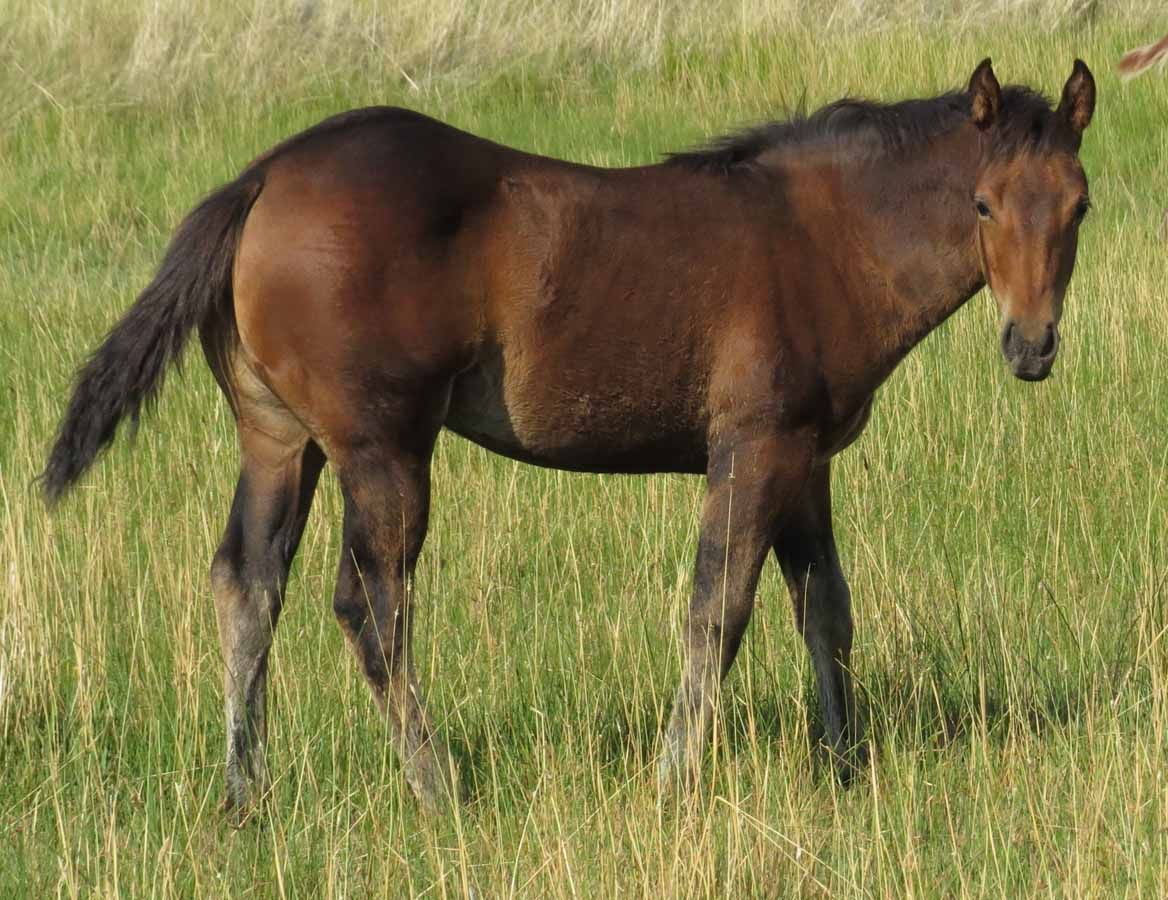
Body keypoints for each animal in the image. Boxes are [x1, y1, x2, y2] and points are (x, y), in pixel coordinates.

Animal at [43, 58, 1096, 817]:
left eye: (1080, 203)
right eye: (983, 203)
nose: (1032, 345)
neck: (822, 238)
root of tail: (263, 178)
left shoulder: (804, 461)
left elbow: (825, 609)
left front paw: (843, 767)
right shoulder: (754, 447)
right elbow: (718, 611)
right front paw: (676, 780)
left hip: (277, 438)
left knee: (246, 585)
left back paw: (242, 793)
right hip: (382, 448)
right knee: (370, 606)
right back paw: (438, 788)